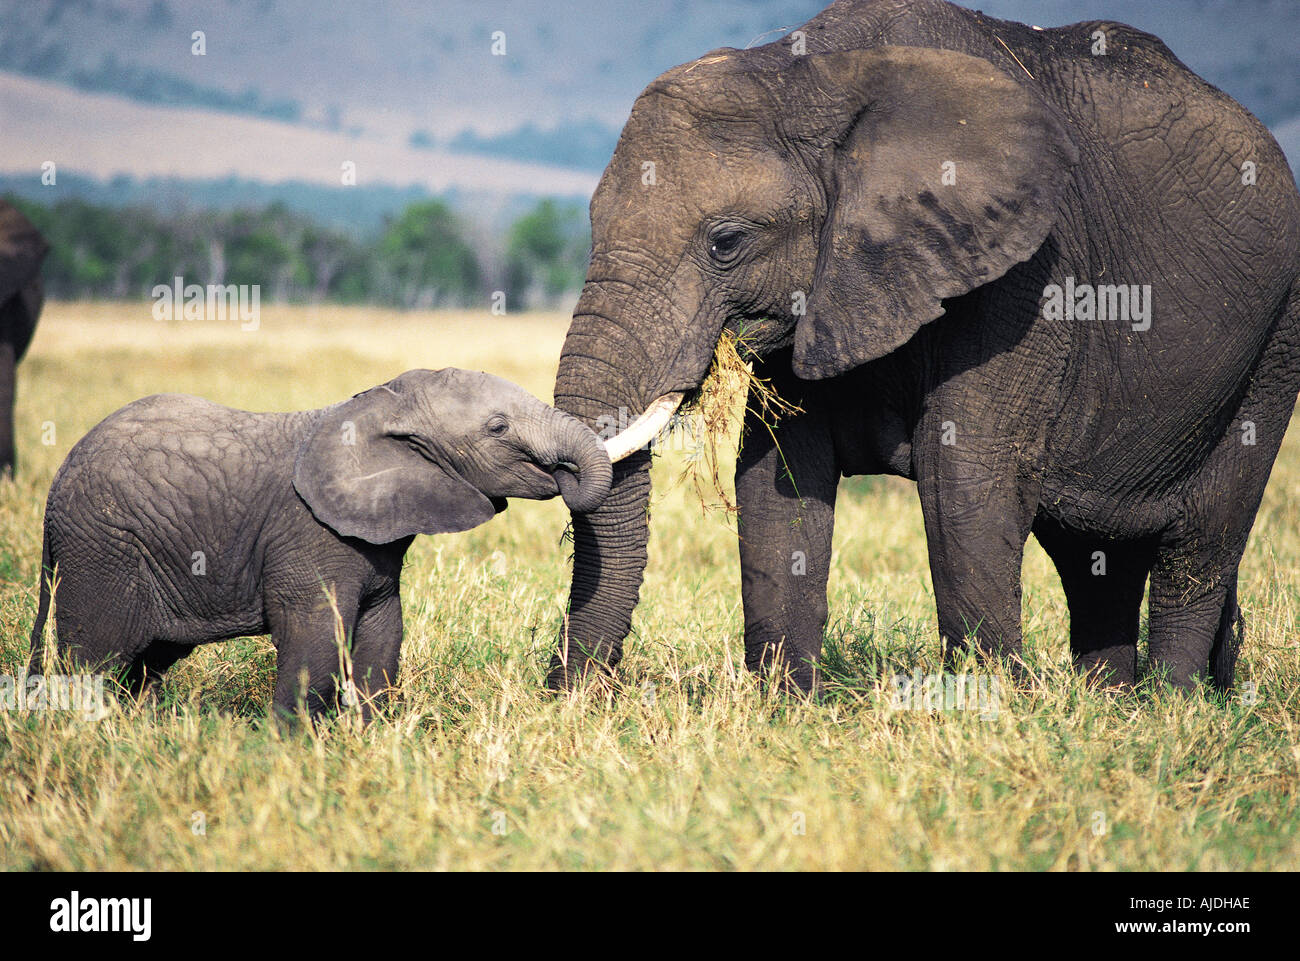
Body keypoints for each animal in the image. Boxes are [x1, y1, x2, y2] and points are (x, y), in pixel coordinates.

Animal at [29, 368, 612, 718]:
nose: (562, 474)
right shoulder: (307, 533)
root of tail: (56, 486)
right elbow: (316, 640)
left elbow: (382, 635)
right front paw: (285, 748)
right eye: (497, 427)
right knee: (97, 658)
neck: (379, 406)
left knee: (146, 662)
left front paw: (374, 735)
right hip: (104, 548)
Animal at [547, 0, 1300, 695]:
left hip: (1276, 337)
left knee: (1202, 533)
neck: (806, 75)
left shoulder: (1023, 278)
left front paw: (987, 707)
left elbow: (962, 477)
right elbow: (777, 479)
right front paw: (787, 705)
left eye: (726, 242)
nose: (570, 692)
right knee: (1094, 552)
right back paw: (1108, 701)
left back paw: (1171, 702)